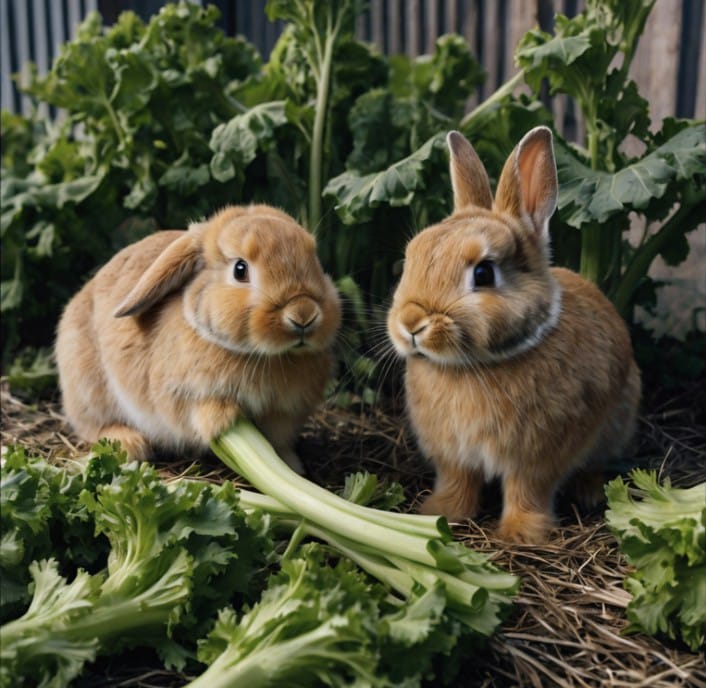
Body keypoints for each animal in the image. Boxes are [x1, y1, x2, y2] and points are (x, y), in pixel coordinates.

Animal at [55, 203, 340, 472]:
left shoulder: (284, 415)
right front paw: (221, 418)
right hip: (89, 389)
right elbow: (201, 412)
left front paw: (292, 466)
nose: (303, 314)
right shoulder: (183, 396)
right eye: (240, 270)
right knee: (92, 425)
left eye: (314, 259)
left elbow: (279, 443)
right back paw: (130, 443)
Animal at [384, 127, 640, 544]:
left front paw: (522, 534)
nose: (411, 323)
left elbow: (527, 489)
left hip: (616, 424)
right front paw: (441, 511)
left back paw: (590, 492)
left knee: (595, 463)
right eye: (412, 256)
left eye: (484, 273)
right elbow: (458, 481)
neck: (475, 366)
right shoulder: (453, 455)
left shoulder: (538, 455)